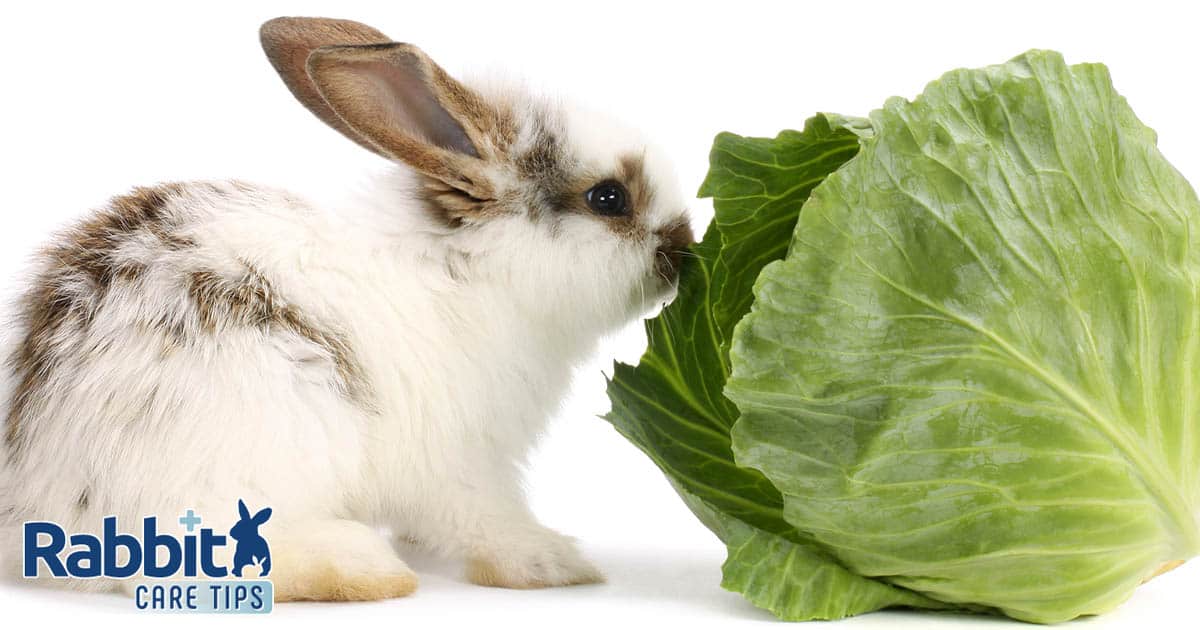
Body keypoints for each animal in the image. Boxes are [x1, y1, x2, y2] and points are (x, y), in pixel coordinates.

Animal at [0, 12, 696, 597]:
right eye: (609, 198)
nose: (684, 249)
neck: (474, 267)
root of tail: (39, 500)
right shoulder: (463, 464)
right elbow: (485, 520)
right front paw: (551, 563)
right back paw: (364, 569)